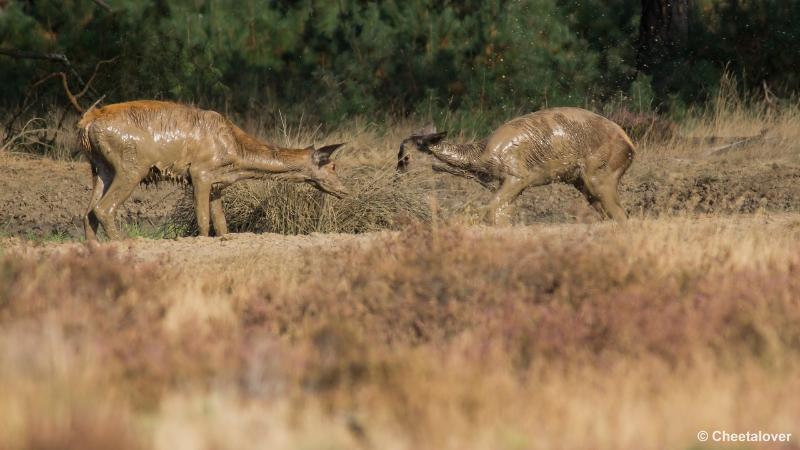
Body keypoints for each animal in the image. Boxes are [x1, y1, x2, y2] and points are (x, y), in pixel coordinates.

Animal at [77, 100, 346, 241]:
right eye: (333, 165)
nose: (345, 190)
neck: (236, 156)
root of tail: (87, 124)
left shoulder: (218, 183)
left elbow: (221, 223)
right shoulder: (200, 173)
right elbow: (204, 221)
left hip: (99, 167)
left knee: (88, 213)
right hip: (132, 164)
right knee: (103, 208)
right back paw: (125, 243)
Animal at [400, 107, 636, 223]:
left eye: (405, 158)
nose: (397, 176)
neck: (480, 159)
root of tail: (630, 146)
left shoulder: (518, 175)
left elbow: (488, 210)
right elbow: (500, 214)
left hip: (600, 175)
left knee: (621, 214)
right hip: (584, 182)